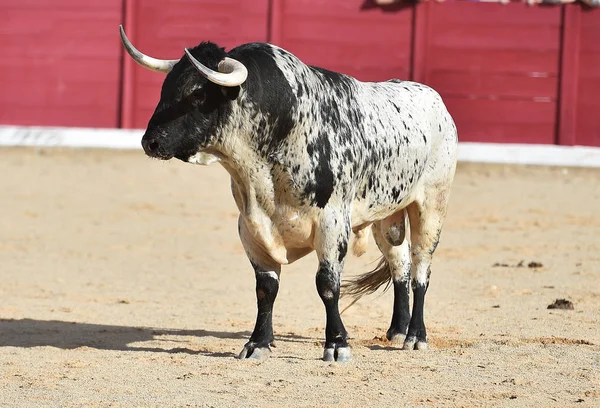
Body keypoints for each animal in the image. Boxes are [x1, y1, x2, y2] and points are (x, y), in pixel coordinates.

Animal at [119, 26, 458, 364]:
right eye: (166, 88)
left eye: (198, 94)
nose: (150, 142)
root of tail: (437, 101)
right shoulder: (251, 227)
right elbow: (266, 288)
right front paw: (257, 343)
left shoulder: (333, 224)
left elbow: (327, 285)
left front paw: (337, 344)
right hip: (386, 217)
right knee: (400, 264)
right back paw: (397, 331)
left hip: (431, 208)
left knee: (421, 268)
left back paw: (415, 336)